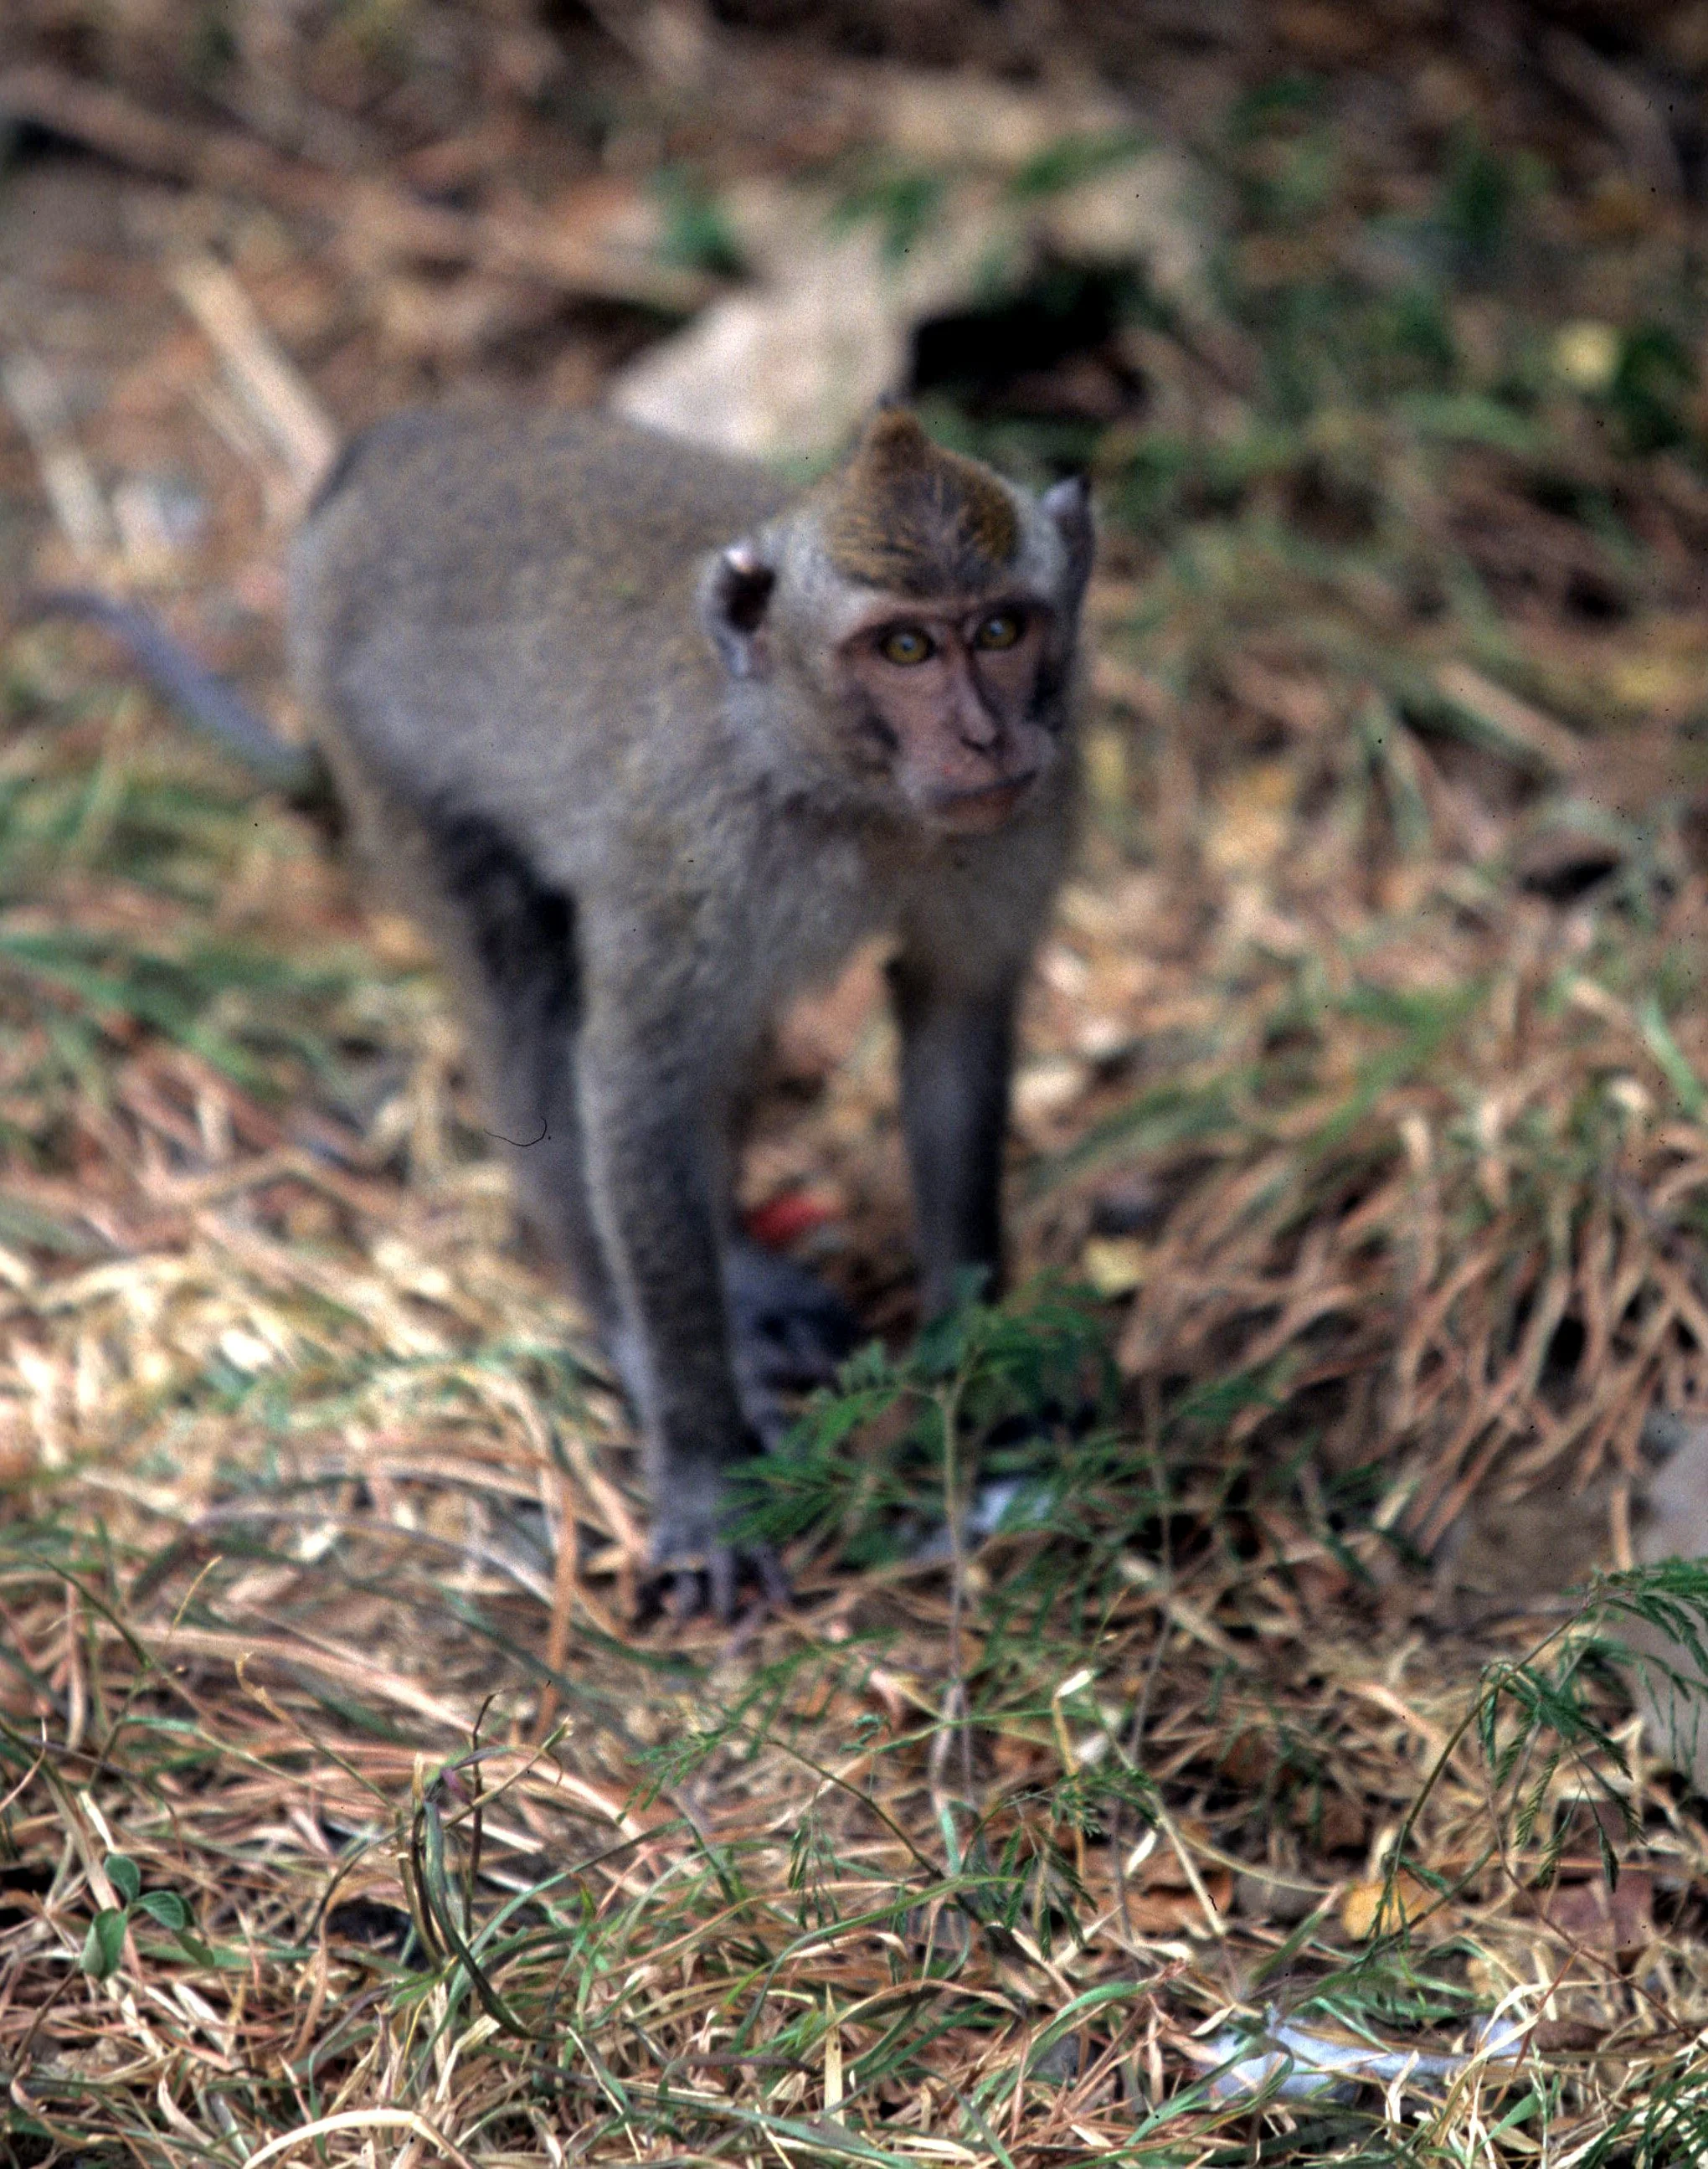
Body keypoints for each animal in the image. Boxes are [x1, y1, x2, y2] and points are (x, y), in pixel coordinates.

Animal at [27, 405, 1094, 1612]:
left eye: (1001, 628)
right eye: (904, 649)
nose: (984, 737)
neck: (840, 785)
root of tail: (390, 444)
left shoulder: (1022, 818)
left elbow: (956, 1029)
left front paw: (985, 1382)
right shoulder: (689, 850)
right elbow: (633, 1086)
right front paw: (704, 1469)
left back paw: (744, 1274)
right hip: (384, 750)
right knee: (526, 1000)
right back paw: (629, 1320)